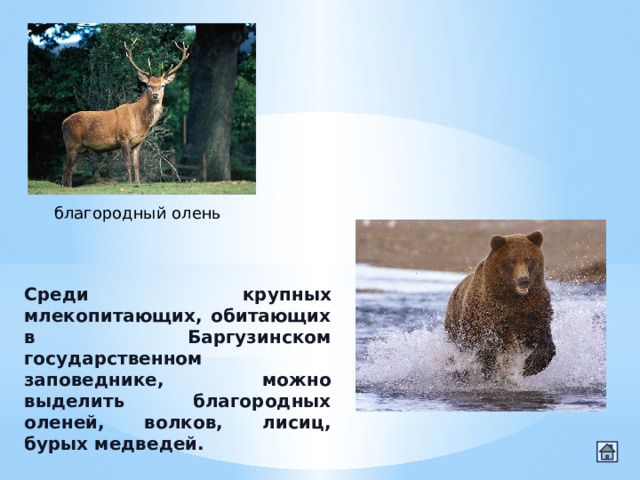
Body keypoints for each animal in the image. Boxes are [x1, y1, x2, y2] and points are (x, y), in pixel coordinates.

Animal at [61, 38, 189, 188]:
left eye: (162, 85)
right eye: (148, 85)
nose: (156, 95)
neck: (140, 121)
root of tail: (63, 122)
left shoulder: (138, 142)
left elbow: (137, 164)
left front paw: (138, 182)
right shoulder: (123, 138)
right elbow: (128, 164)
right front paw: (129, 182)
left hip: (83, 148)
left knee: (72, 168)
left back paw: (69, 187)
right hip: (72, 142)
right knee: (65, 165)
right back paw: (63, 186)